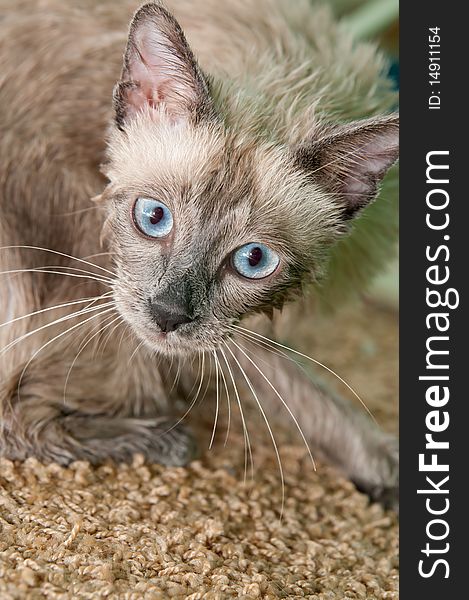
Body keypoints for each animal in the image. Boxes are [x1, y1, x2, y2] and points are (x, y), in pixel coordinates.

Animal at [0, 0, 398, 508]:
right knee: (15, 417)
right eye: (154, 217)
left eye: (253, 261)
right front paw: (385, 465)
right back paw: (166, 438)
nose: (168, 315)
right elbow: (298, 384)